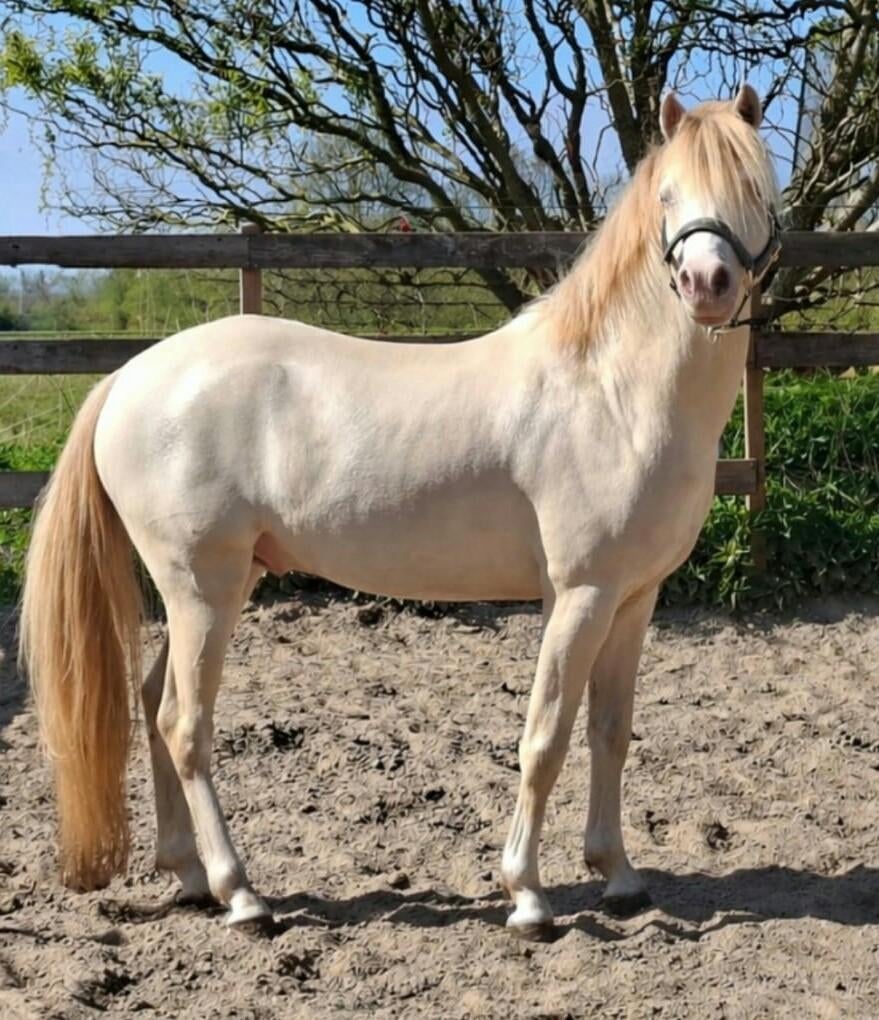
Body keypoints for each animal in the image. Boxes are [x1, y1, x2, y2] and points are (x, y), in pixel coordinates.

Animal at [20, 85, 780, 940]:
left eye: (755, 190)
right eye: (666, 195)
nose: (707, 282)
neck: (612, 391)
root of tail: (129, 377)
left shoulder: (632, 598)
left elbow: (608, 733)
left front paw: (617, 876)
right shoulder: (578, 596)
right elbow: (545, 739)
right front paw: (527, 896)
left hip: (212, 591)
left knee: (153, 708)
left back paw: (188, 877)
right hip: (200, 591)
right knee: (186, 725)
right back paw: (242, 894)